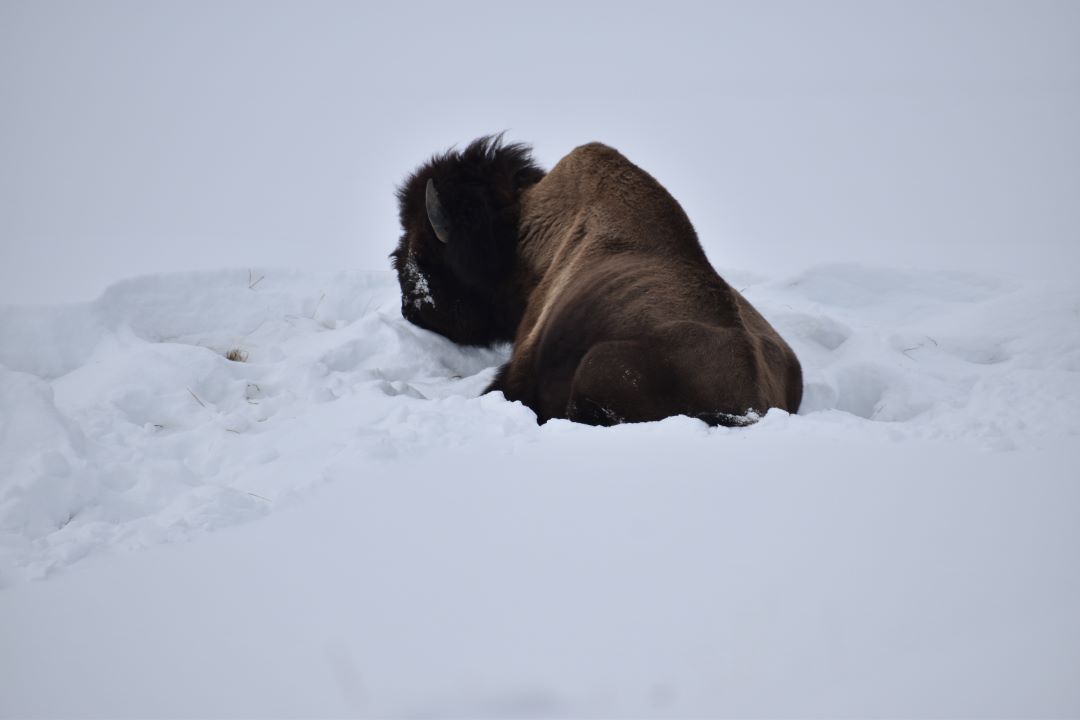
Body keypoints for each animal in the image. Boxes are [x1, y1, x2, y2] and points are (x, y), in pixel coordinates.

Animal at [391, 136, 802, 426]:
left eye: (427, 252)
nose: (409, 306)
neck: (524, 235)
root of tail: (750, 404)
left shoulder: (519, 368)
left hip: (597, 364)